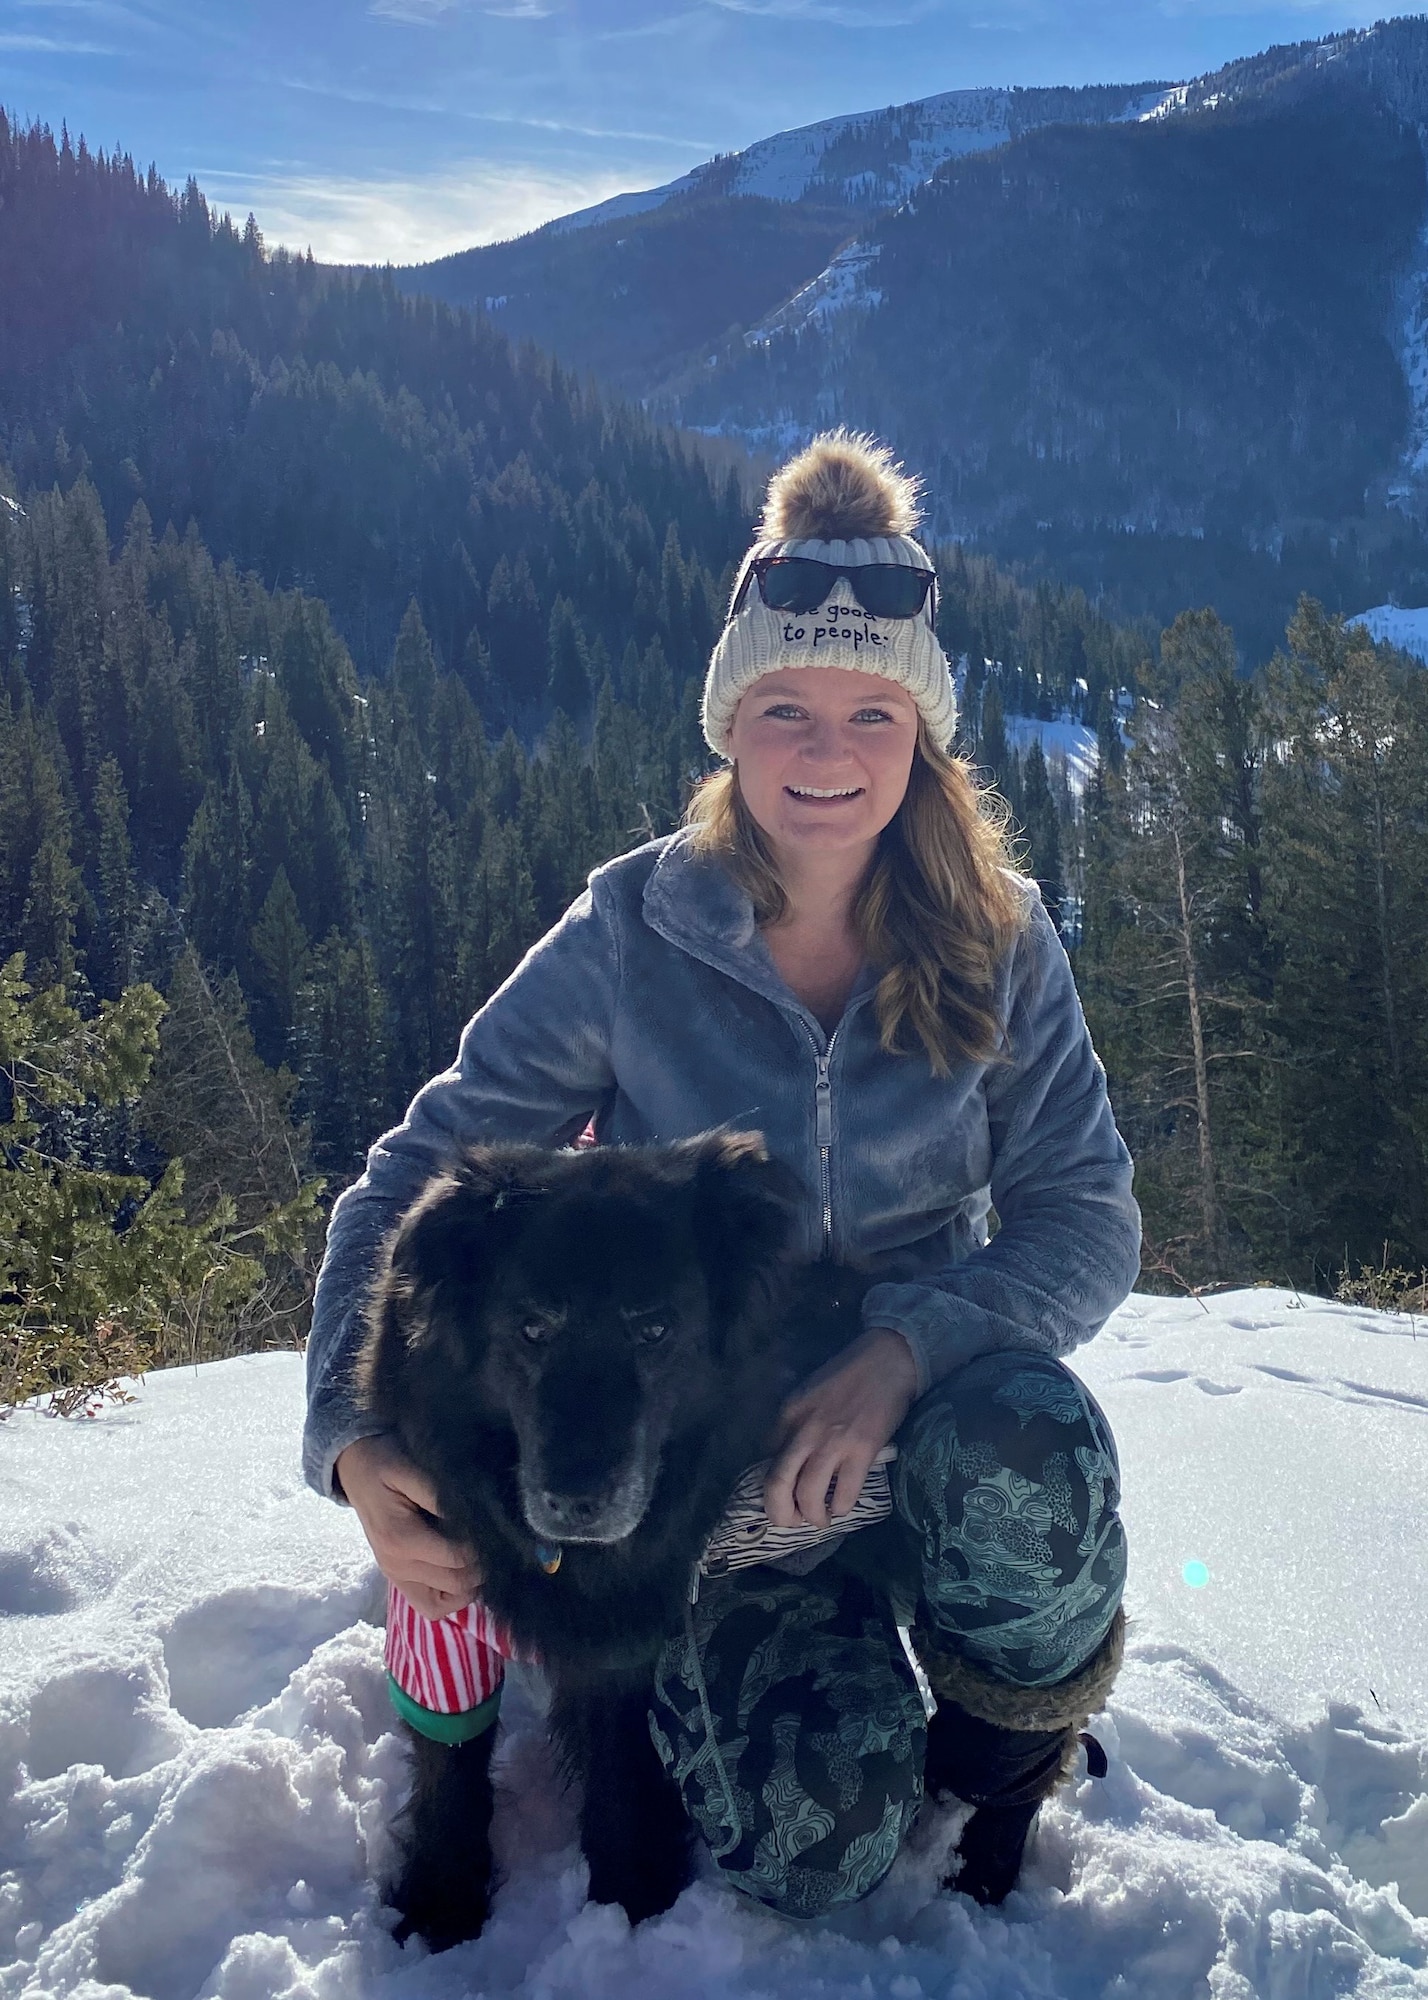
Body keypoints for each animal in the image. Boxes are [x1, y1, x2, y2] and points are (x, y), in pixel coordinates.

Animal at [362, 1136, 864, 1944]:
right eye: (533, 1328)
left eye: (653, 1330)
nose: (576, 1501)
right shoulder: (436, 1598)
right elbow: (450, 1763)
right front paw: (439, 1902)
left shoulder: (633, 1634)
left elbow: (621, 1761)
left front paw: (630, 1889)